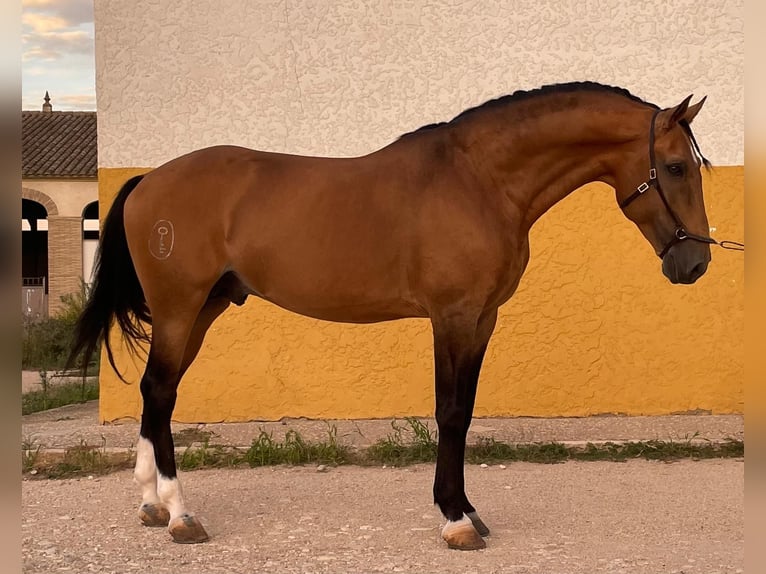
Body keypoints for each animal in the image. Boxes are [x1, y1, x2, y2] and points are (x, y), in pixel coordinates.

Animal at [69, 82, 716, 552]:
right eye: (676, 168)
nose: (697, 263)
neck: (480, 180)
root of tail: (148, 179)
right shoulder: (452, 317)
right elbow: (450, 413)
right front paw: (456, 521)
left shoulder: (483, 320)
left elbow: (465, 412)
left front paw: (468, 510)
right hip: (181, 308)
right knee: (160, 391)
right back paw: (180, 514)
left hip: (204, 308)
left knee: (156, 393)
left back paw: (153, 505)